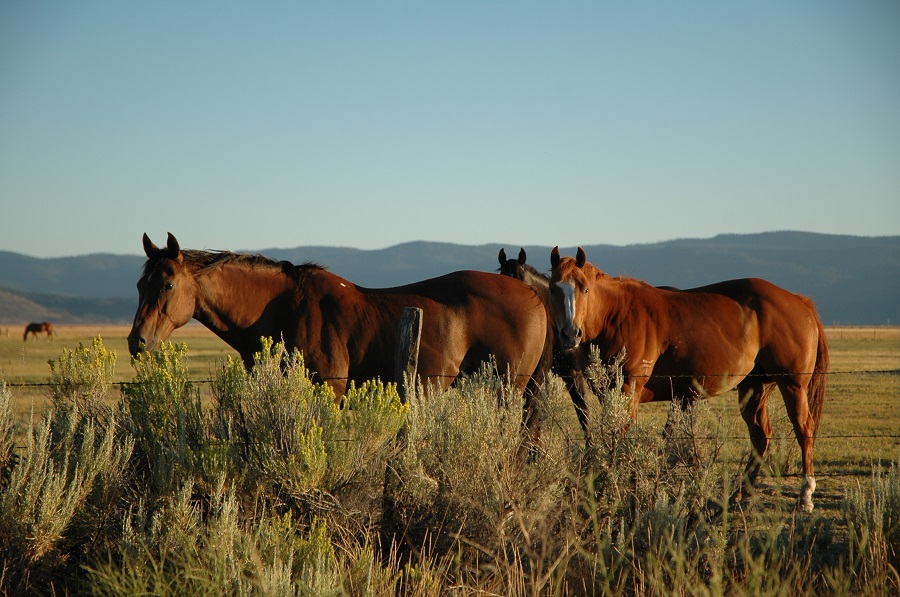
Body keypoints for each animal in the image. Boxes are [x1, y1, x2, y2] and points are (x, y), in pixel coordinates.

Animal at [128, 233, 548, 429]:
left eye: (167, 285)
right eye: (139, 285)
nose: (137, 341)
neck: (284, 307)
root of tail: (531, 293)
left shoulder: (329, 391)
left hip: (507, 389)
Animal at [548, 246, 829, 512]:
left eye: (584, 289)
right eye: (553, 289)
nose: (570, 334)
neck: (617, 314)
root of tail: (799, 301)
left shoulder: (629, 389)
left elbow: (622, 436)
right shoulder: (609, 393)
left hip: (792, 385)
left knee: (804, 429)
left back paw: (805, 495)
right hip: (754, 386)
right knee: (761, 435)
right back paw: (740, 495)